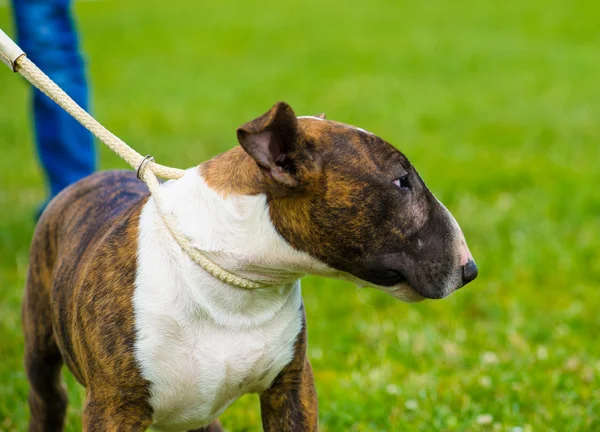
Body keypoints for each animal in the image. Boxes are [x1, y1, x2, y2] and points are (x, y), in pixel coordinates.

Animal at [23, 102, 478, 432]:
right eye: (402, 180)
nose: (470, 270)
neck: (236, 285)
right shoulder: (113, 407)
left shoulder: (292, 388)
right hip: (42, 347)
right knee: (47, 397)